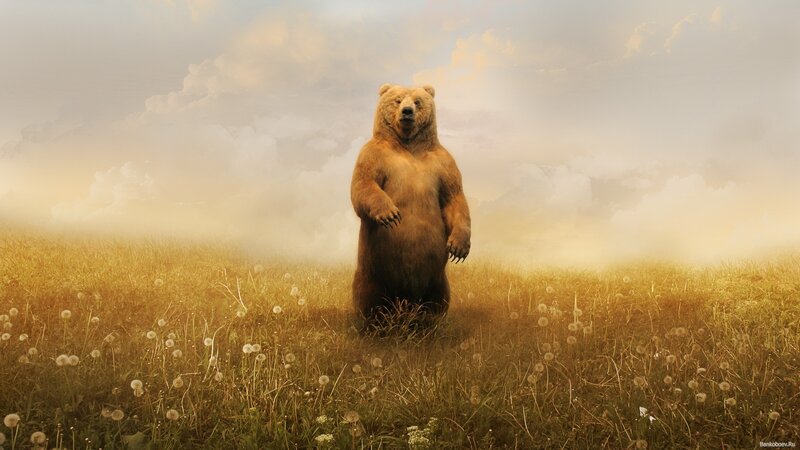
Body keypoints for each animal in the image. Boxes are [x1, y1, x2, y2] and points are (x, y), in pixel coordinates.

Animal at [350, 83, 471, 322]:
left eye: (417, 101)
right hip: (372, 271)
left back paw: (429, 322)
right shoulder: (374, 155)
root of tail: (406, 302)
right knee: (369, 298)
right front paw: (390, 214)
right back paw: (373, 323)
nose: (407, 112)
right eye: (397, 100)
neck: (408, 144)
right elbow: (363, 184)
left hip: (436, 278)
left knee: (438, 299)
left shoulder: (443, 163)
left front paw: (458, 247)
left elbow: (454, 197)